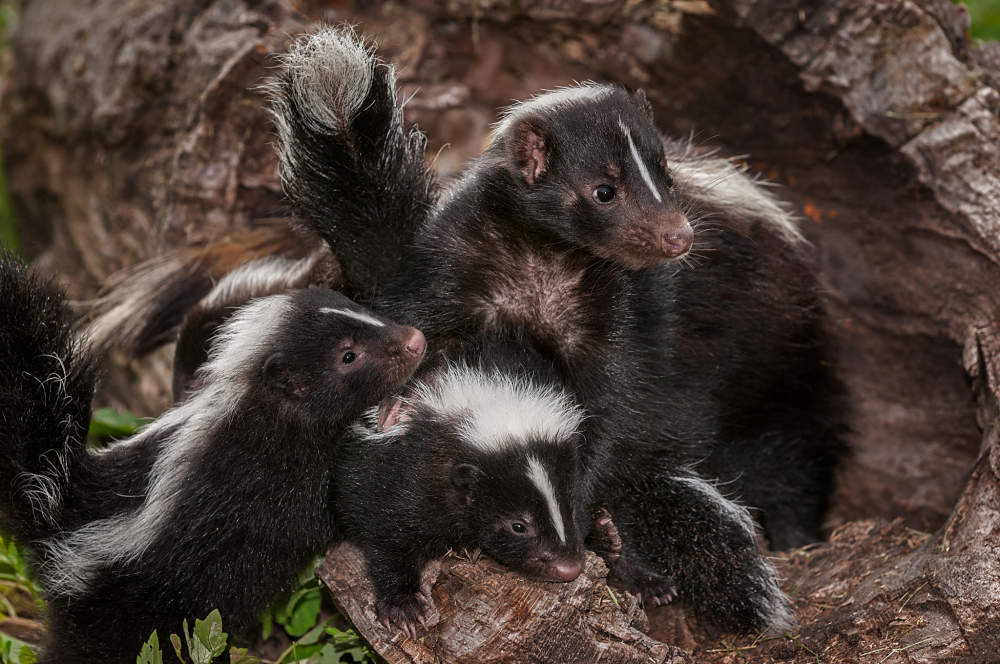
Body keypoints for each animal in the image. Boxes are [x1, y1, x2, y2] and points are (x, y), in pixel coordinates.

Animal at [0, 250, 426, 664]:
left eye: (360, 309)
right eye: (348, 356)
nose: (415, 340)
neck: (261, 410)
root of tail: (60, 497)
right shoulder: (274, 479)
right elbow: (349, 508)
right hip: (117, 605)